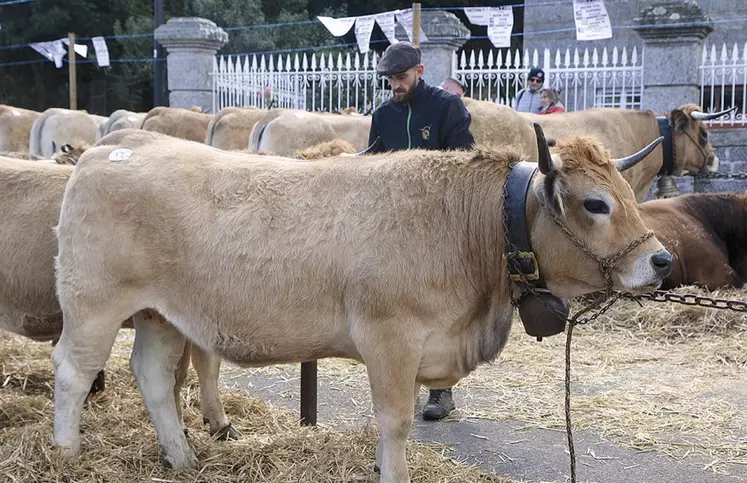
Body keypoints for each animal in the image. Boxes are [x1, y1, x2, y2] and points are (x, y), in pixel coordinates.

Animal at [52, 126, 672, 482]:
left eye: (628, 193)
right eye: (595, 203)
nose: (662, 261)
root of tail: (110, 148)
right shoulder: (390, 337)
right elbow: (394, 423)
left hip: (160, 314)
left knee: (154, 376)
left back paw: (182, 459)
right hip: (93, 304)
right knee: (73, 372)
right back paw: (65, 453)